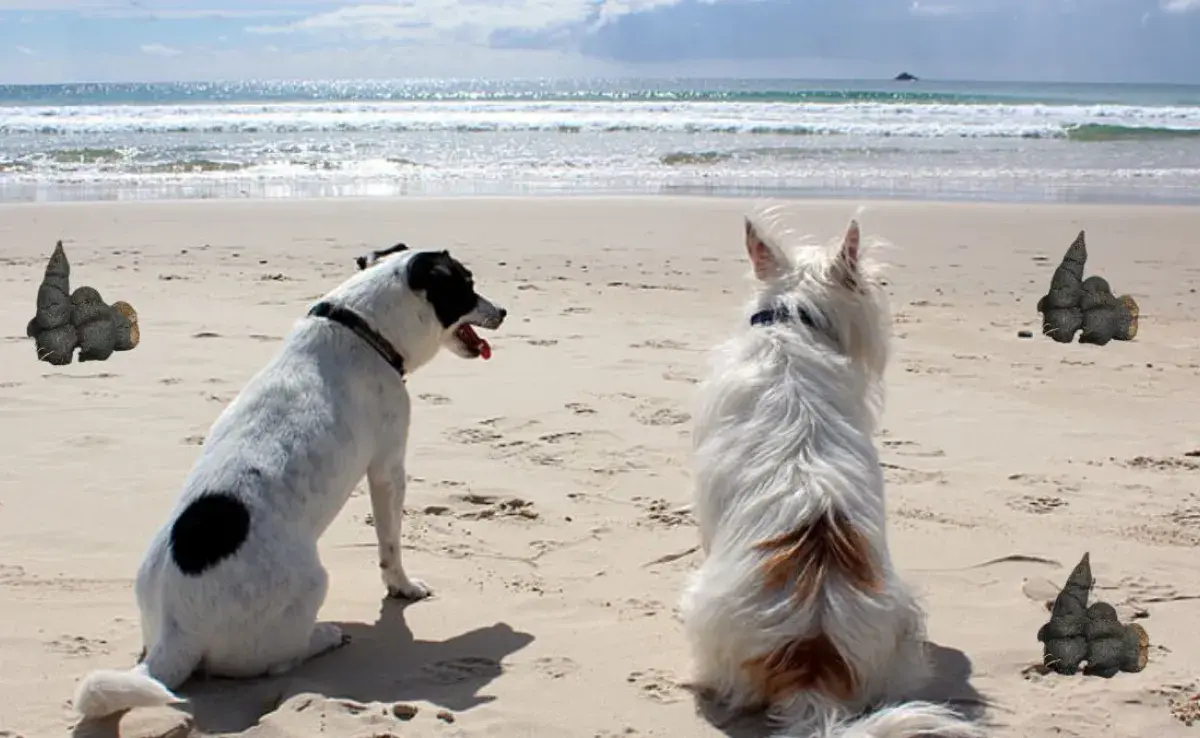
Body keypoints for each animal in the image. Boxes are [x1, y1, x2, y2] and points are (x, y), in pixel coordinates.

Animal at [73, 246, 506, 720]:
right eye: (466, 285)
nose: (503, 311)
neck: (361, 327)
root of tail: (176, 633)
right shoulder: (388, 469)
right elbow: (391, 546)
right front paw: (404, 587)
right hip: (312, 583)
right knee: (280, 659)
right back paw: (325, 635)